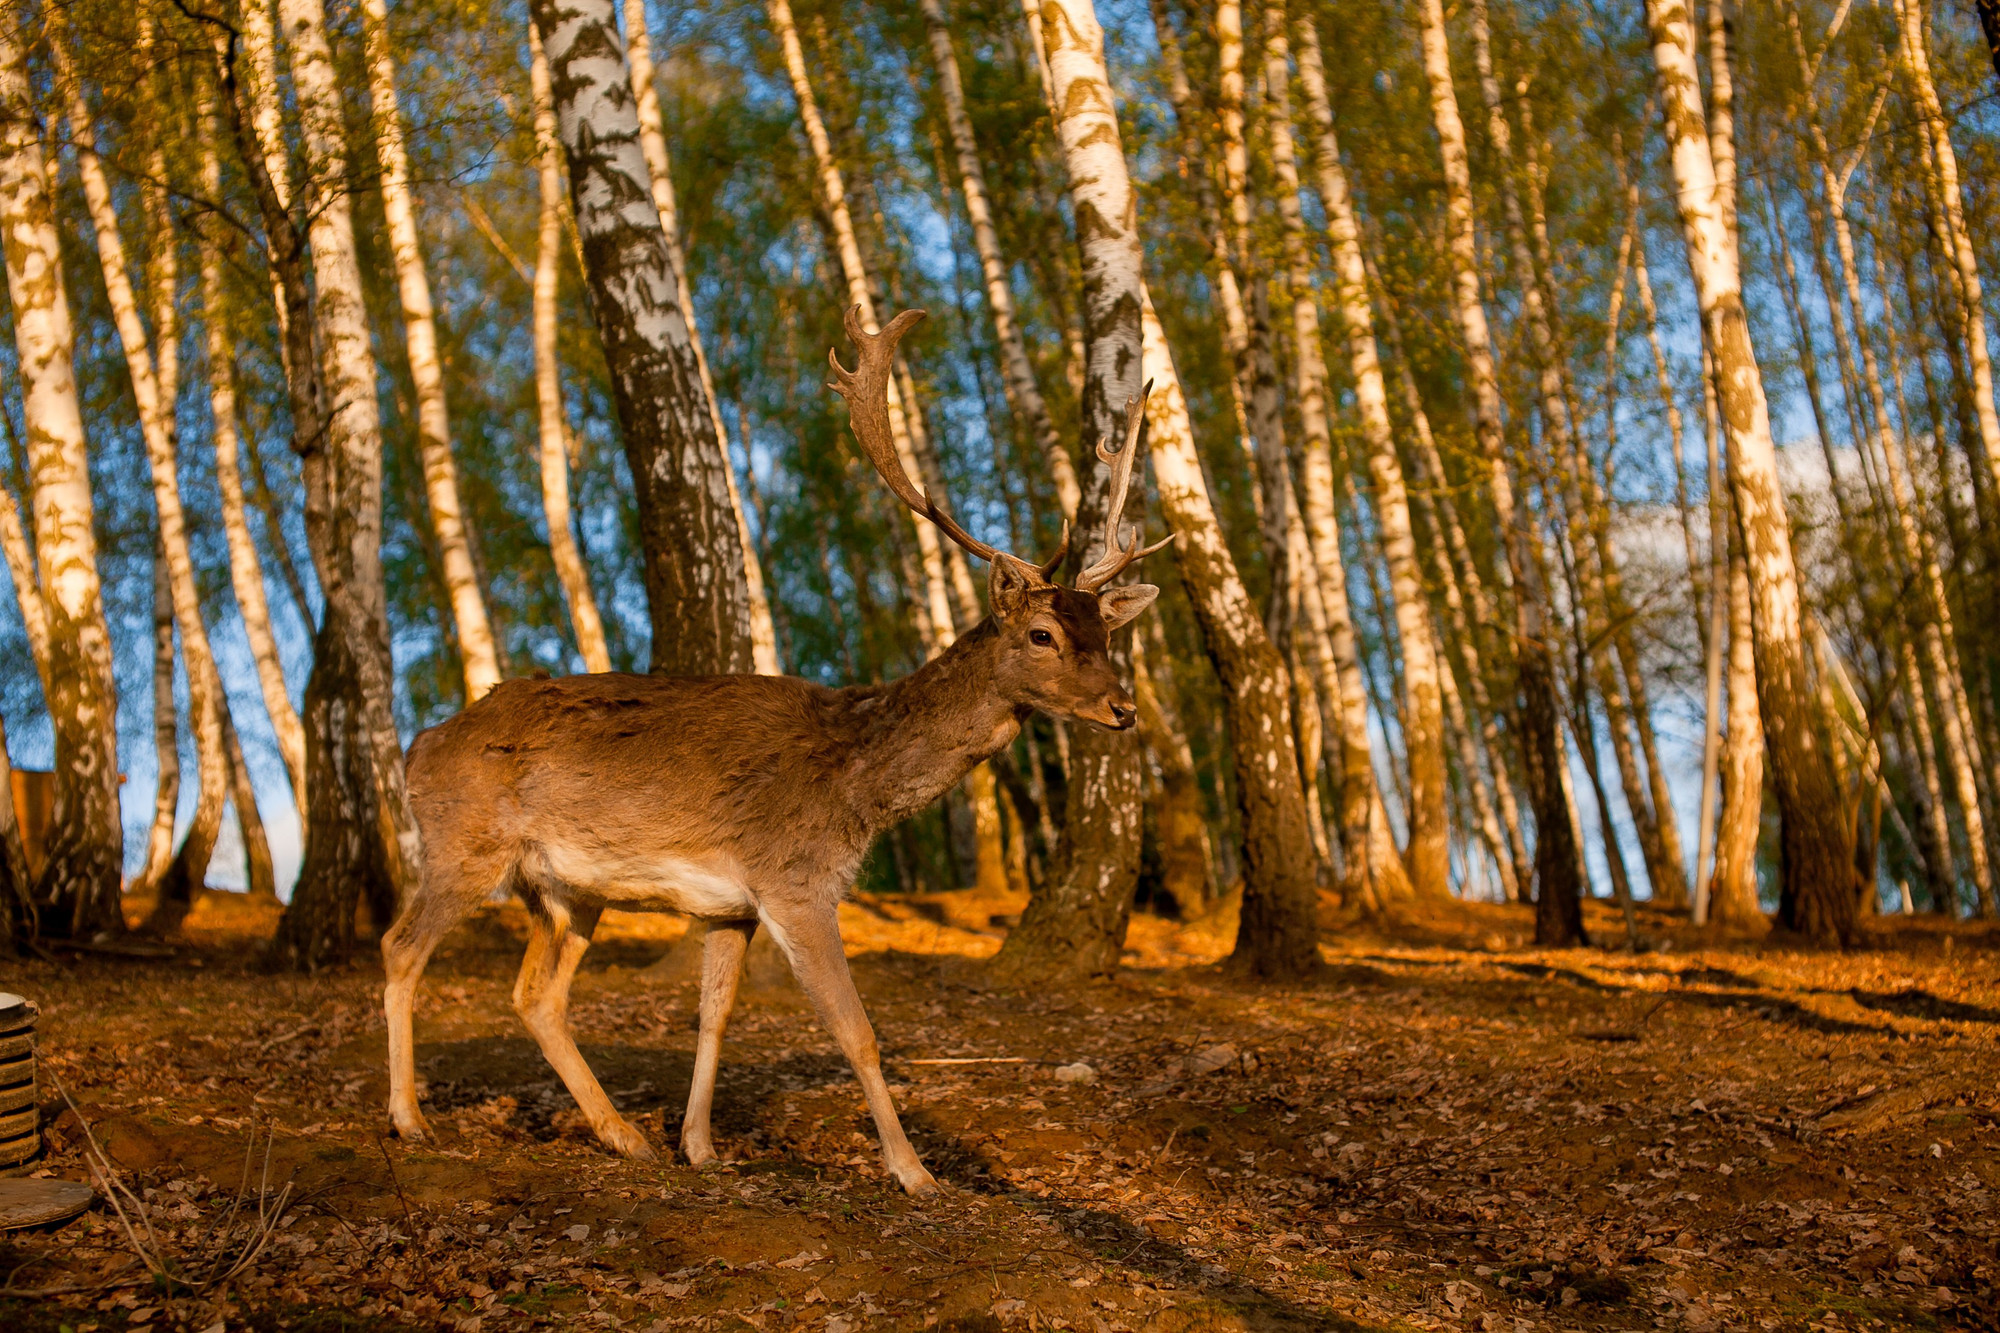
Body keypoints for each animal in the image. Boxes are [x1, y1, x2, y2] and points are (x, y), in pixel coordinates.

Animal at [376, 306, 1168, 1184]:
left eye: (1106, 632)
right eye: (1041, 634)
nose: (1123, 707)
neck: (856, 785)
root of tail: (416, 747)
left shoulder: (731, 904)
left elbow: (715, 1015)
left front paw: (698, 1145)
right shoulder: (797, 880)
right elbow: (857, 1031)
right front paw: (915, 1171)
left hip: (562, 888)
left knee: (534, 994)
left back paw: (621, 1132)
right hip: (462, 844)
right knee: (400, 947)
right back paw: (411, 1119)